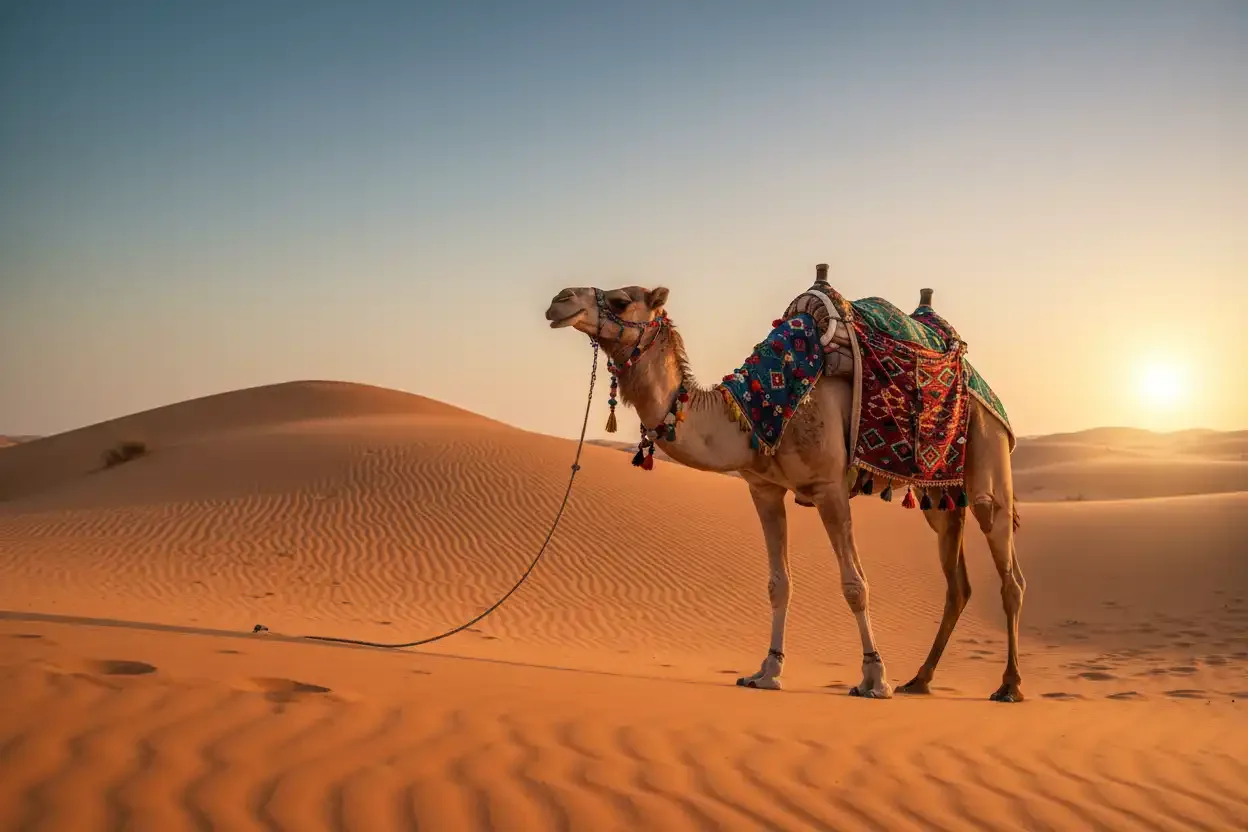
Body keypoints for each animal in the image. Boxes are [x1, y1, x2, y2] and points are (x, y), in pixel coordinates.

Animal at [544, 275, 1026, 702]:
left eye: (622, 300)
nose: (559, 300)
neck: (755, 409)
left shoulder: (829, 487)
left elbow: (855, 584)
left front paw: (874, 679)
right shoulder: (763, 489)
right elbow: (779, 583)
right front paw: (767, 672)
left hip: (988, 450)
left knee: (1008, 570)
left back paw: (1009, 686)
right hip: (940, 498)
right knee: (958, 583)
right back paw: (920, 680)